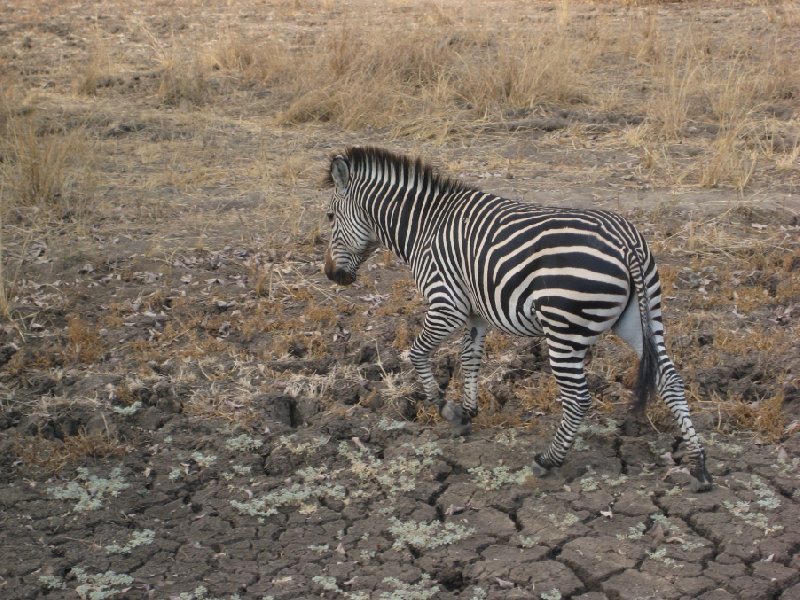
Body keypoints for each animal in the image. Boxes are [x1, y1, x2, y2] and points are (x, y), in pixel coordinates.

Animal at [324, 146, 712, 492]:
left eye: (329, 218)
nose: (331, 276)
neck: (425, 227)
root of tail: (627, 242)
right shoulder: (476, 314)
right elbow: (470, 359)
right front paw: (468, 412)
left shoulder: (446, 304)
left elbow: (416, 353)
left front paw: (445, 408)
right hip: (642, 319)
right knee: (670, 380)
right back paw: (698, 465)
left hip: (564, 330)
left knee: (578, 398)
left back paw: (548, 460)